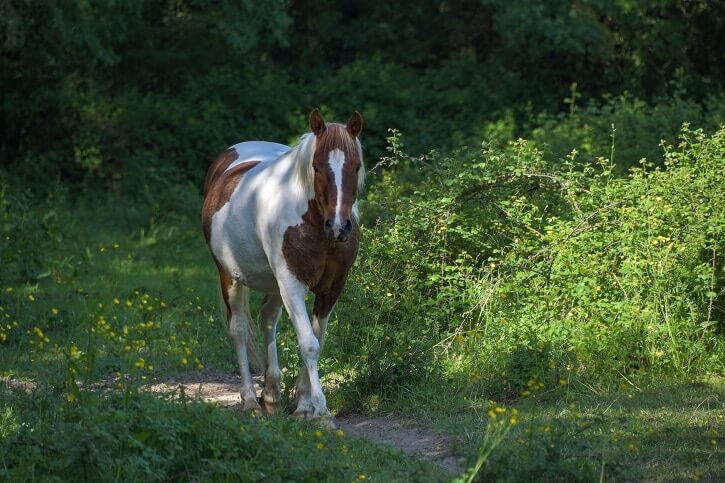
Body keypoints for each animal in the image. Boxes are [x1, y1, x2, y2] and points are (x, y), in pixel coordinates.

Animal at [202, 108, 362, 424]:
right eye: (316, 167)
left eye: (357, 166)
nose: (339, 227)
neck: (312, 222)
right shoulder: (292, 284)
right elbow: (309, 343)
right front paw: (321, 411)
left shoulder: (333, 287)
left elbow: (317, 340)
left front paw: (303, 405)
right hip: (231, 278)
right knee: (239, 330)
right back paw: (250, 400)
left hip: (273, 284)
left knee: (267, 320)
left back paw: (271, 395)